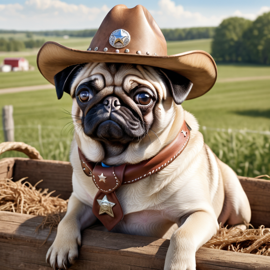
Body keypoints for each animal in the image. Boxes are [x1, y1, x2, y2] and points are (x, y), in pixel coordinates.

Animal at [46, 62, 251, 268]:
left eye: (143, 98)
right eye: (84, 95)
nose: (111, 102)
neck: (120, 167)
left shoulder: (200, 212)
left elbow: (181, 234)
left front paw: (178, 265)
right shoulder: (80, 200)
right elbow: (67, 219)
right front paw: (61, 247)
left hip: (235, 195)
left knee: (241, 222)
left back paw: (233, 232)